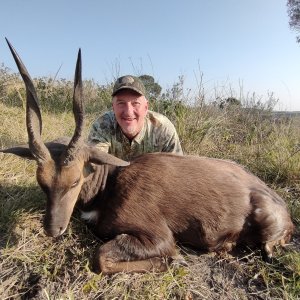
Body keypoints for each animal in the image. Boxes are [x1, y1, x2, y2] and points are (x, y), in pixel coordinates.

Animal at [1, 39, 294, 274]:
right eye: (42, 183)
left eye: (74, 181)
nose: (53, 230)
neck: (110, 184)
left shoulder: (158, 236)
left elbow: (103, 258)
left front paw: (175, 260)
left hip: (268, 233)